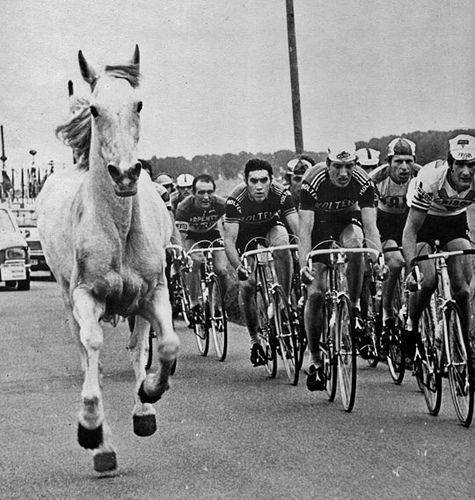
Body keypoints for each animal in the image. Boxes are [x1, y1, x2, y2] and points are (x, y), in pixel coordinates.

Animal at [36, 45, 179, 470]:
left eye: (139, 104)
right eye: (96, 109)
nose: (126, 174)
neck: (117, 228)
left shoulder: (154, 291)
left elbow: (166, 345)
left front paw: (150, 393)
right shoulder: (85, 295)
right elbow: (93, 345)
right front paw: (92, 432)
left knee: (139, 346)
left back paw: (144, 408)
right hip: (66, 296)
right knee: (87, 352)